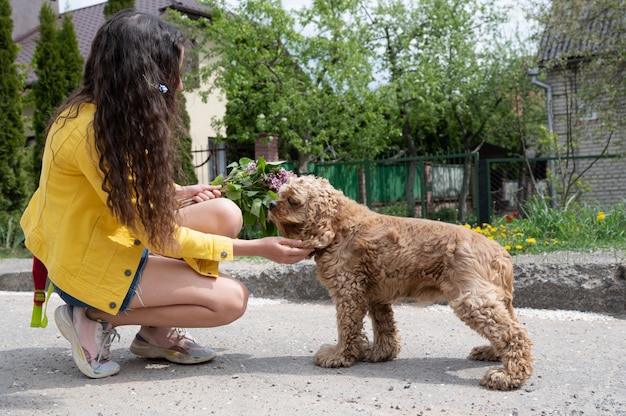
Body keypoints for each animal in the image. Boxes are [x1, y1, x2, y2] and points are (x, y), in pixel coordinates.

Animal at [266, 176, 532, 390]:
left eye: (293, 200)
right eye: (280, 195)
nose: (270, 204)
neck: (338, 226)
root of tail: (500, 252)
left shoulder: (348, 291)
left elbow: (346, 328)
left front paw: (338, 356)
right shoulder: (374, 295)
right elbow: (384, 327)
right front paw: (379, 353)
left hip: (471, 299)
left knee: (514, 332)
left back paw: (508, 376)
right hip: (493, 298)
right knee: (509, 327)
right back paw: (491, 353)